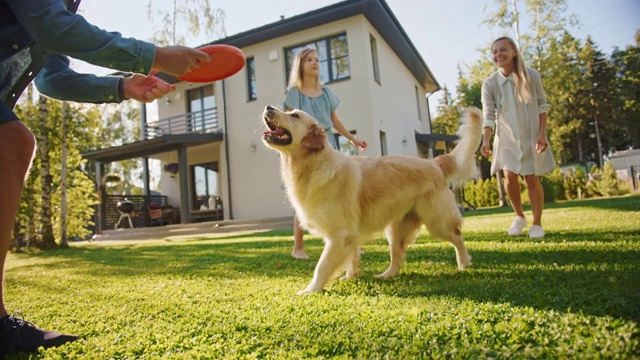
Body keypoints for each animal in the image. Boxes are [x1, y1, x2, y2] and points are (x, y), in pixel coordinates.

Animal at [260, 106, 480, 292]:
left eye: (295, 116)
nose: (268, 107)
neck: (312, 165)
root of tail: (434, 163)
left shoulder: (339, 234)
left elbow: (321, 266)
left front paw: (310, 290)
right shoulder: (348, 235)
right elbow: (352, 257)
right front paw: (351, 276)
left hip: (436, 222)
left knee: (457, 236)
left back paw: (464, 263)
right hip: (395, 230)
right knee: (398, 257)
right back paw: (385, 275)